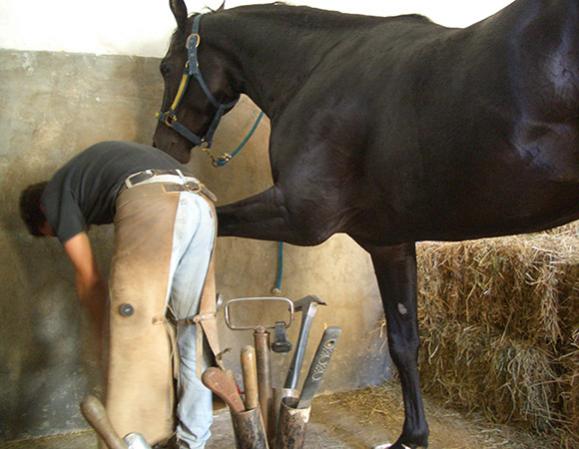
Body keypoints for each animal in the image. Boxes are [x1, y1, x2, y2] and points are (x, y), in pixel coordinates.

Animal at [152, 1, 576, 446]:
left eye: (166, 67)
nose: (164, 143)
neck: (317, 69)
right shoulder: (389, 242)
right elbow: (405, 341)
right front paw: (412, 434)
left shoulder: (300, 218)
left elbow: (216, 221)